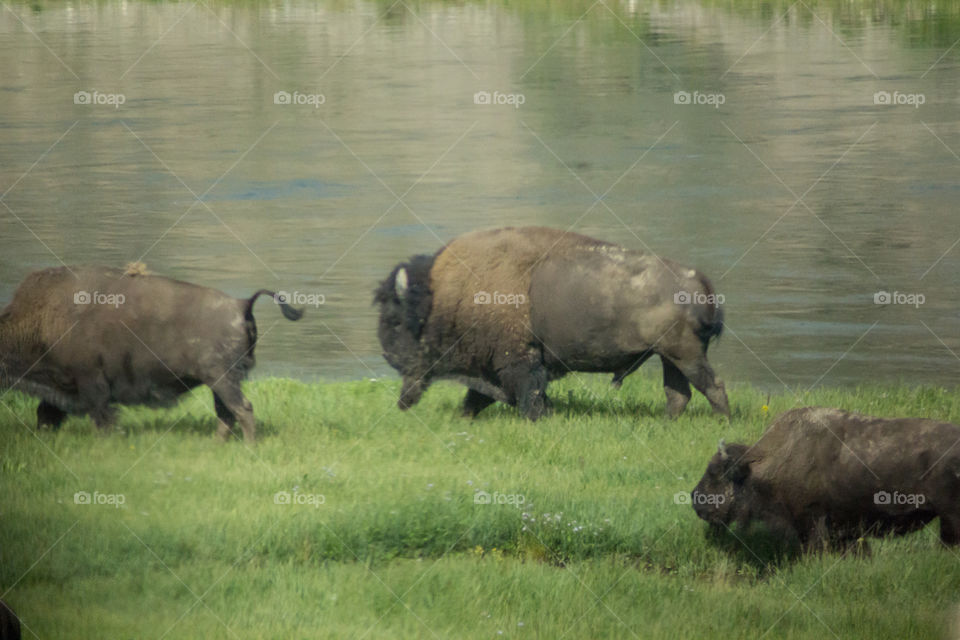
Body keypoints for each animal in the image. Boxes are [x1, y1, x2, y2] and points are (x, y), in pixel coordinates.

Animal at [0, 264, 302, 440]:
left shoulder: (90, 382)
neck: (41, 318)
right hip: (219, 382)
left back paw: (249, 448)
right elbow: (46, 411)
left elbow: (101, 416)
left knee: (242, 410)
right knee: (226, 414)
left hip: (222, 379)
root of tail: (241, 305)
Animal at [376, 226, 728, 420]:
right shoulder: (493, 367)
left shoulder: (517, 363)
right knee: (678, 394)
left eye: (396, 320)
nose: (387, 355)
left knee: (712, 386)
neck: (446, 296)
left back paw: (722, 422)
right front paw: (463, 418)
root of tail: (698, 279)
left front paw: (536, 418)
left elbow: (527, 395)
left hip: (686, 355)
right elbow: (476, 398)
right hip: (670, 356)